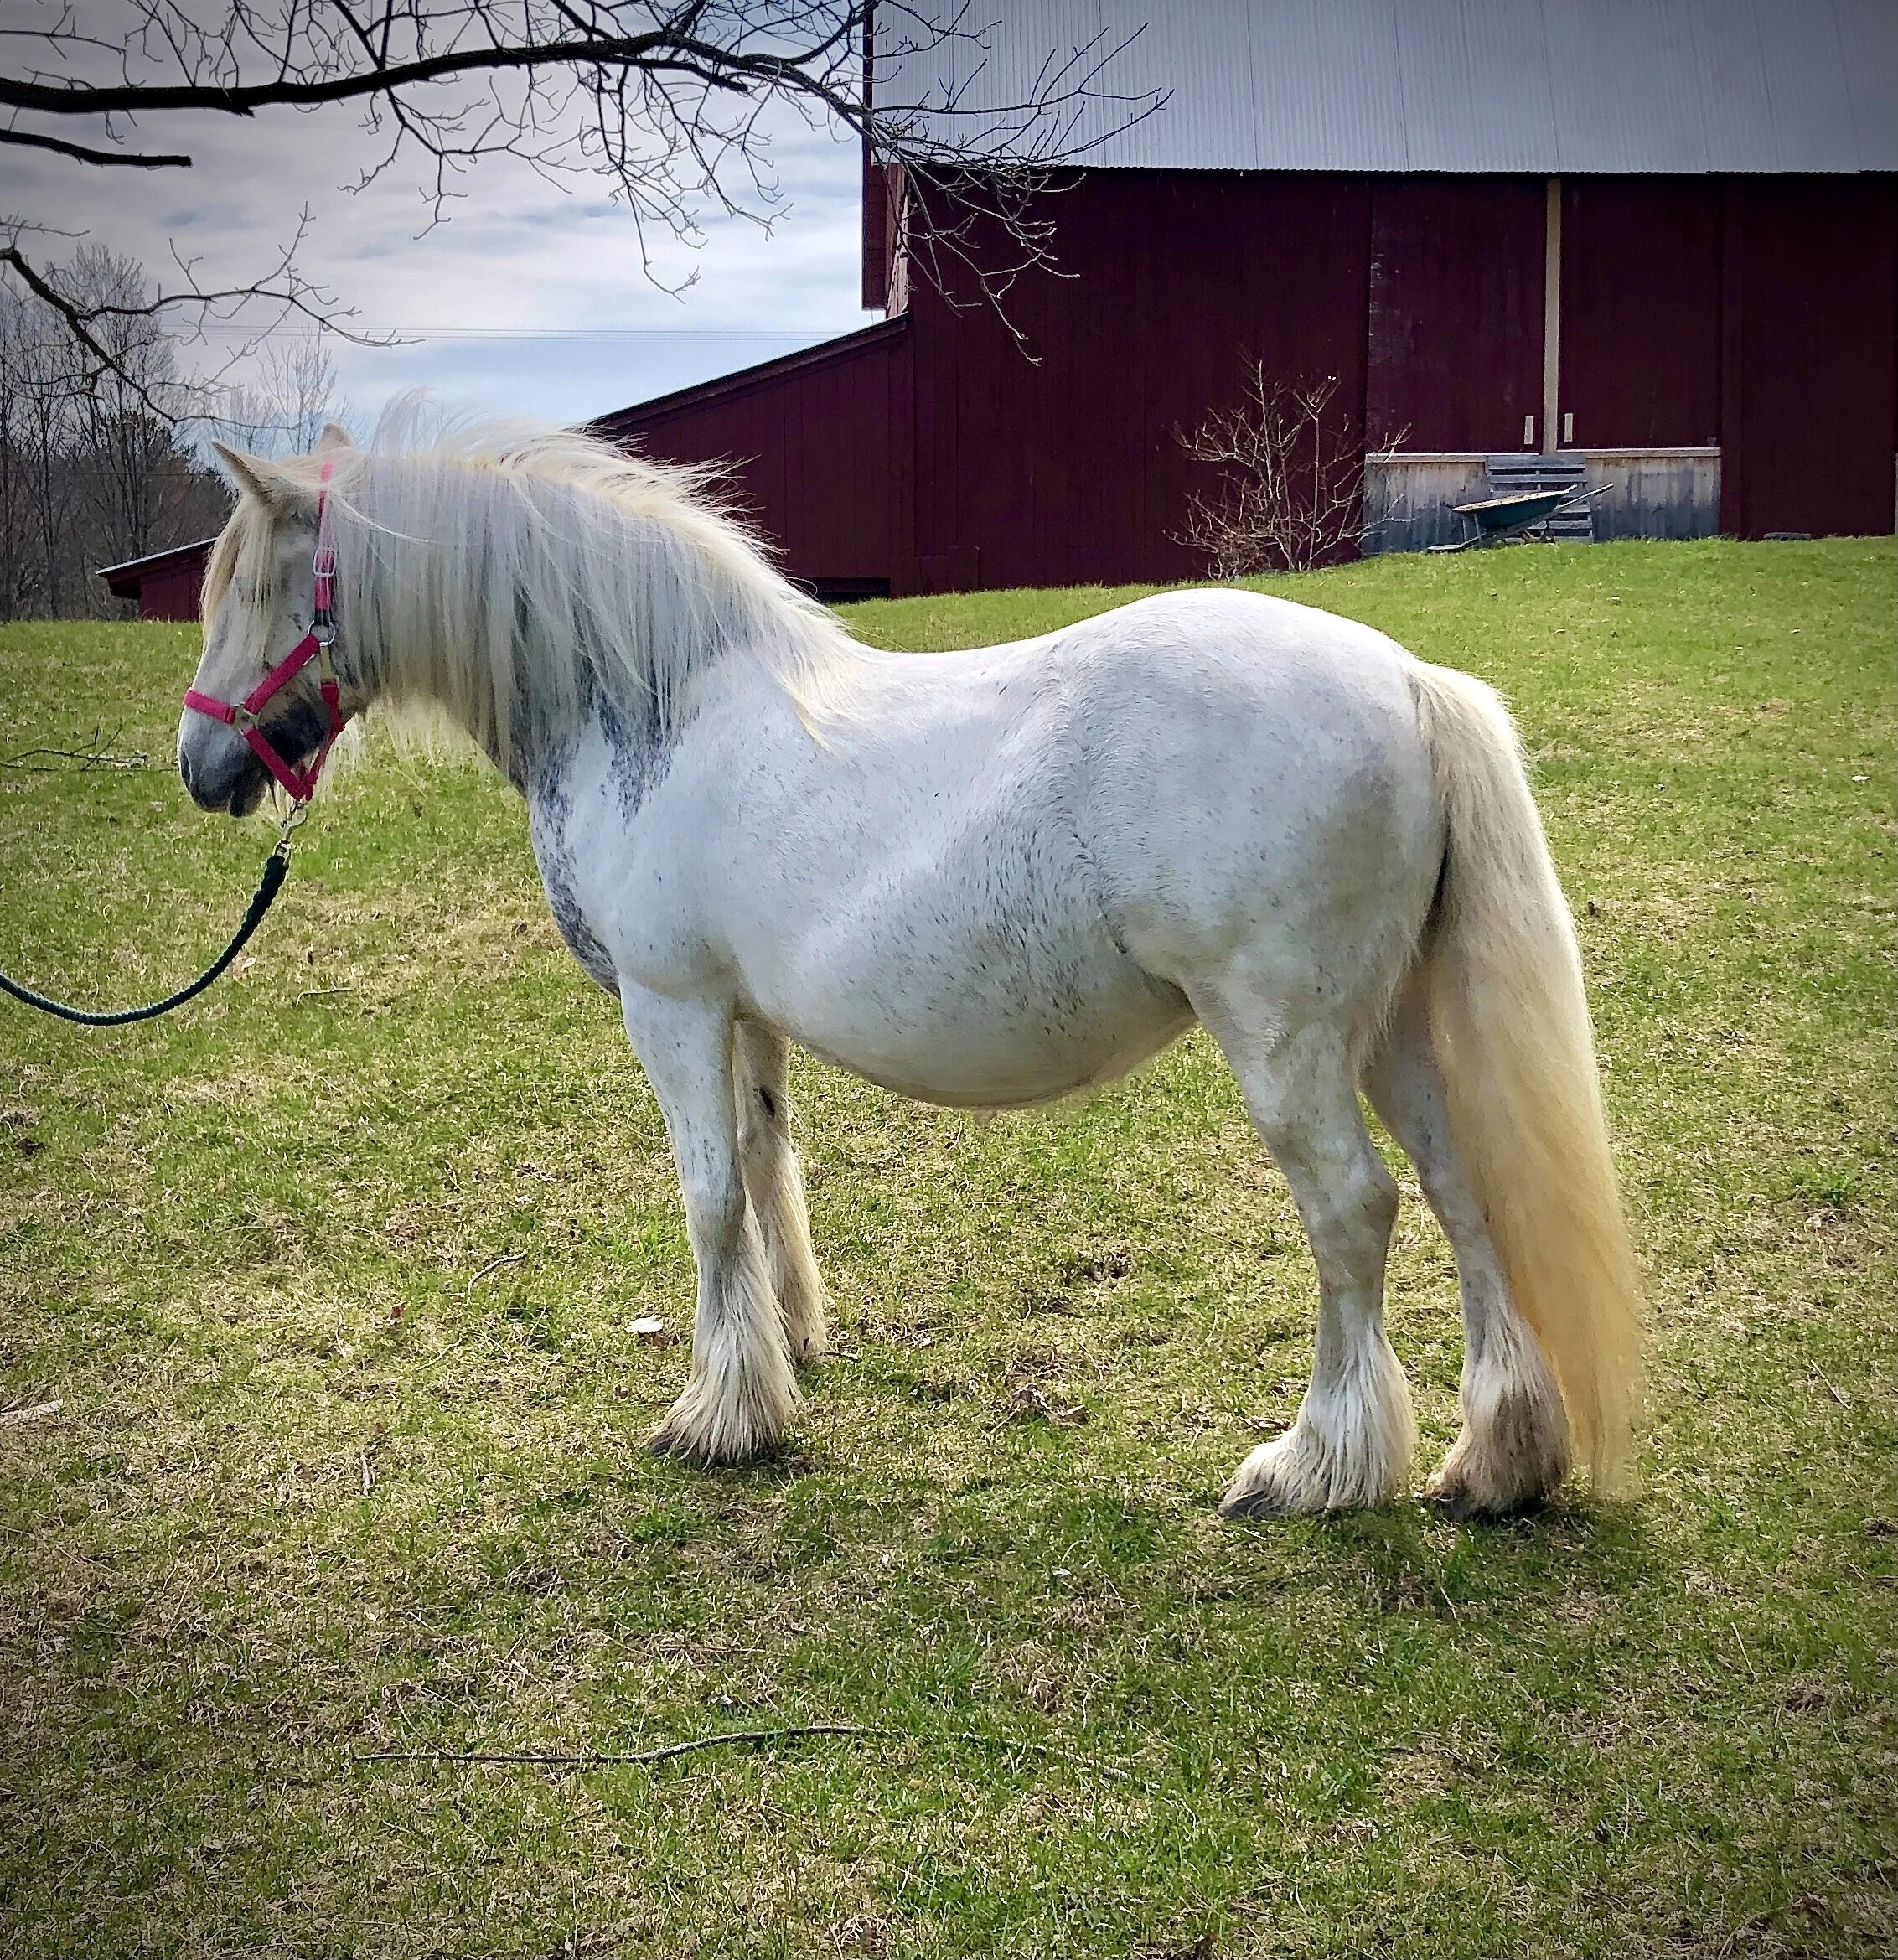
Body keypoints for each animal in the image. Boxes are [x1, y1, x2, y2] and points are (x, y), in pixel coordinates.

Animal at [178, 414, 1642, 1520]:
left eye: (251, 587)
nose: (200, 767)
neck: (652, 703)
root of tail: (1407, 679)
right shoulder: (742, 1014)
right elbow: (765, 1166)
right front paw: (781, 1358)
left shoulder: (670, 1005)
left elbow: (708, 1195)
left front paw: (715, 1412)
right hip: (1389, 1028)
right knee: (1464, 1191)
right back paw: (1497, 1460)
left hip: (1286, 1043)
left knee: (1354, 1210)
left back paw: (1315, 1465)